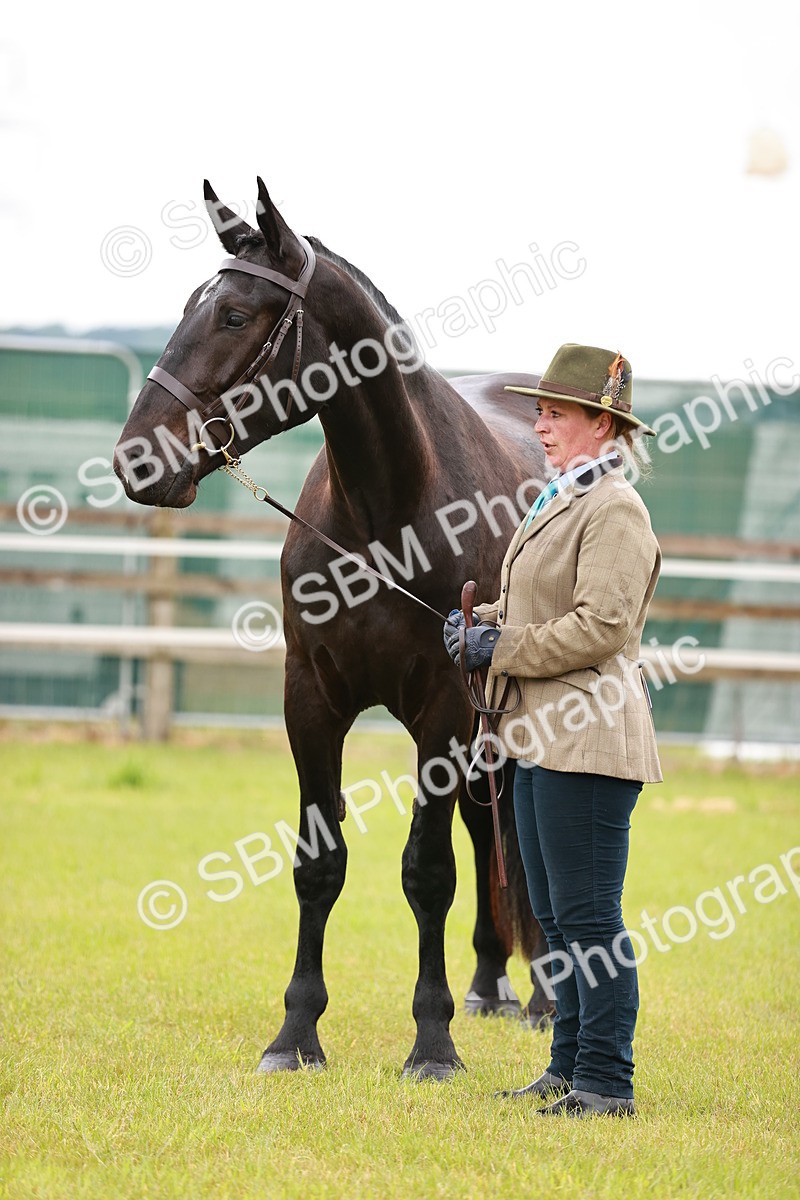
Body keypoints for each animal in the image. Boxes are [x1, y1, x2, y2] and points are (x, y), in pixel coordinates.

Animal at [113, 177, 552, 1080]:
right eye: (189, 305)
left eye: (234, 315)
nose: (134, 459)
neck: (393, 512)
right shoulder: (310, 698)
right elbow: (320, 866)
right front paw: (296, 1034)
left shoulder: (442, 710)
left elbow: (428, 872)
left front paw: (432, 1042)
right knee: (487, 824)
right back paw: (492, 984)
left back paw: (544, 995)